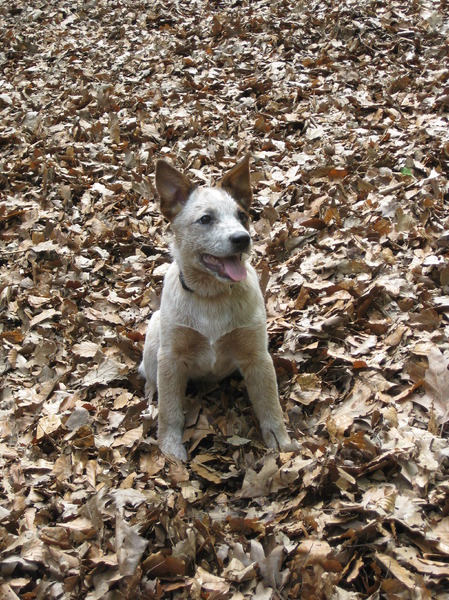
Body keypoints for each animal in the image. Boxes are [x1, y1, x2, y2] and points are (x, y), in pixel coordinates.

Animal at [140, 155, 294, 460]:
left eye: (242, 216)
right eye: (206, 219)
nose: (242, 238)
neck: (212, 297)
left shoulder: (257, 356)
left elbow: (269, 402)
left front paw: (279, 441)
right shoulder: (171, 357)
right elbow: (169, 409)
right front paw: (170, 448)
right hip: (154, 333)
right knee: (151, 381)